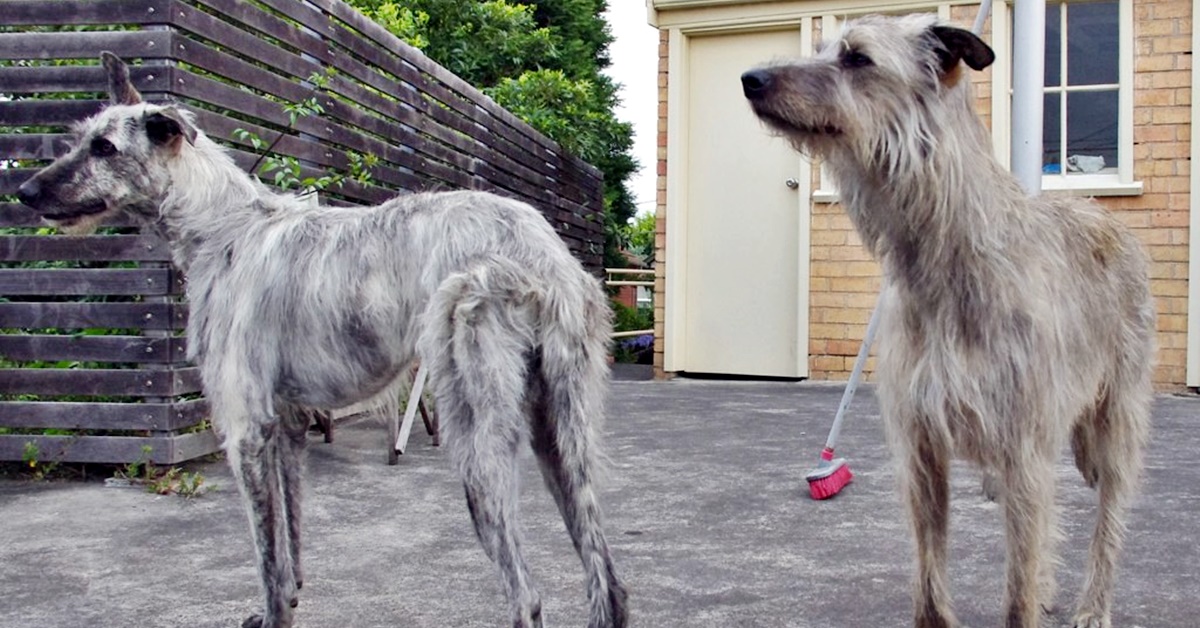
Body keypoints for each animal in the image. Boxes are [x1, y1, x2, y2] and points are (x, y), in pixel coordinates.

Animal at [16, 52, 628, 628]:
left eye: (105, 147)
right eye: (78, 138)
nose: (25, 191)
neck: (223, 227)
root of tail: (540, 253)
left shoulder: (245, 431)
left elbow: (266, 555)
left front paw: (272, 615)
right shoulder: (286, 425)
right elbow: (290, 538)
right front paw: (289, 597)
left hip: (477, 433)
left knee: (527, 597)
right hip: (562, 430)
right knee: (609, 582)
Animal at [739, 13, 1152, 628]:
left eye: (858, 58)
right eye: (823, 49)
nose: (751, 78)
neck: (946, 254)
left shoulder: (1022, 449)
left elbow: (1017, 589)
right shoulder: (922, 449)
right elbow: (930, 578)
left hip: (1116, 419)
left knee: (1109, 516)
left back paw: (1093, 605)